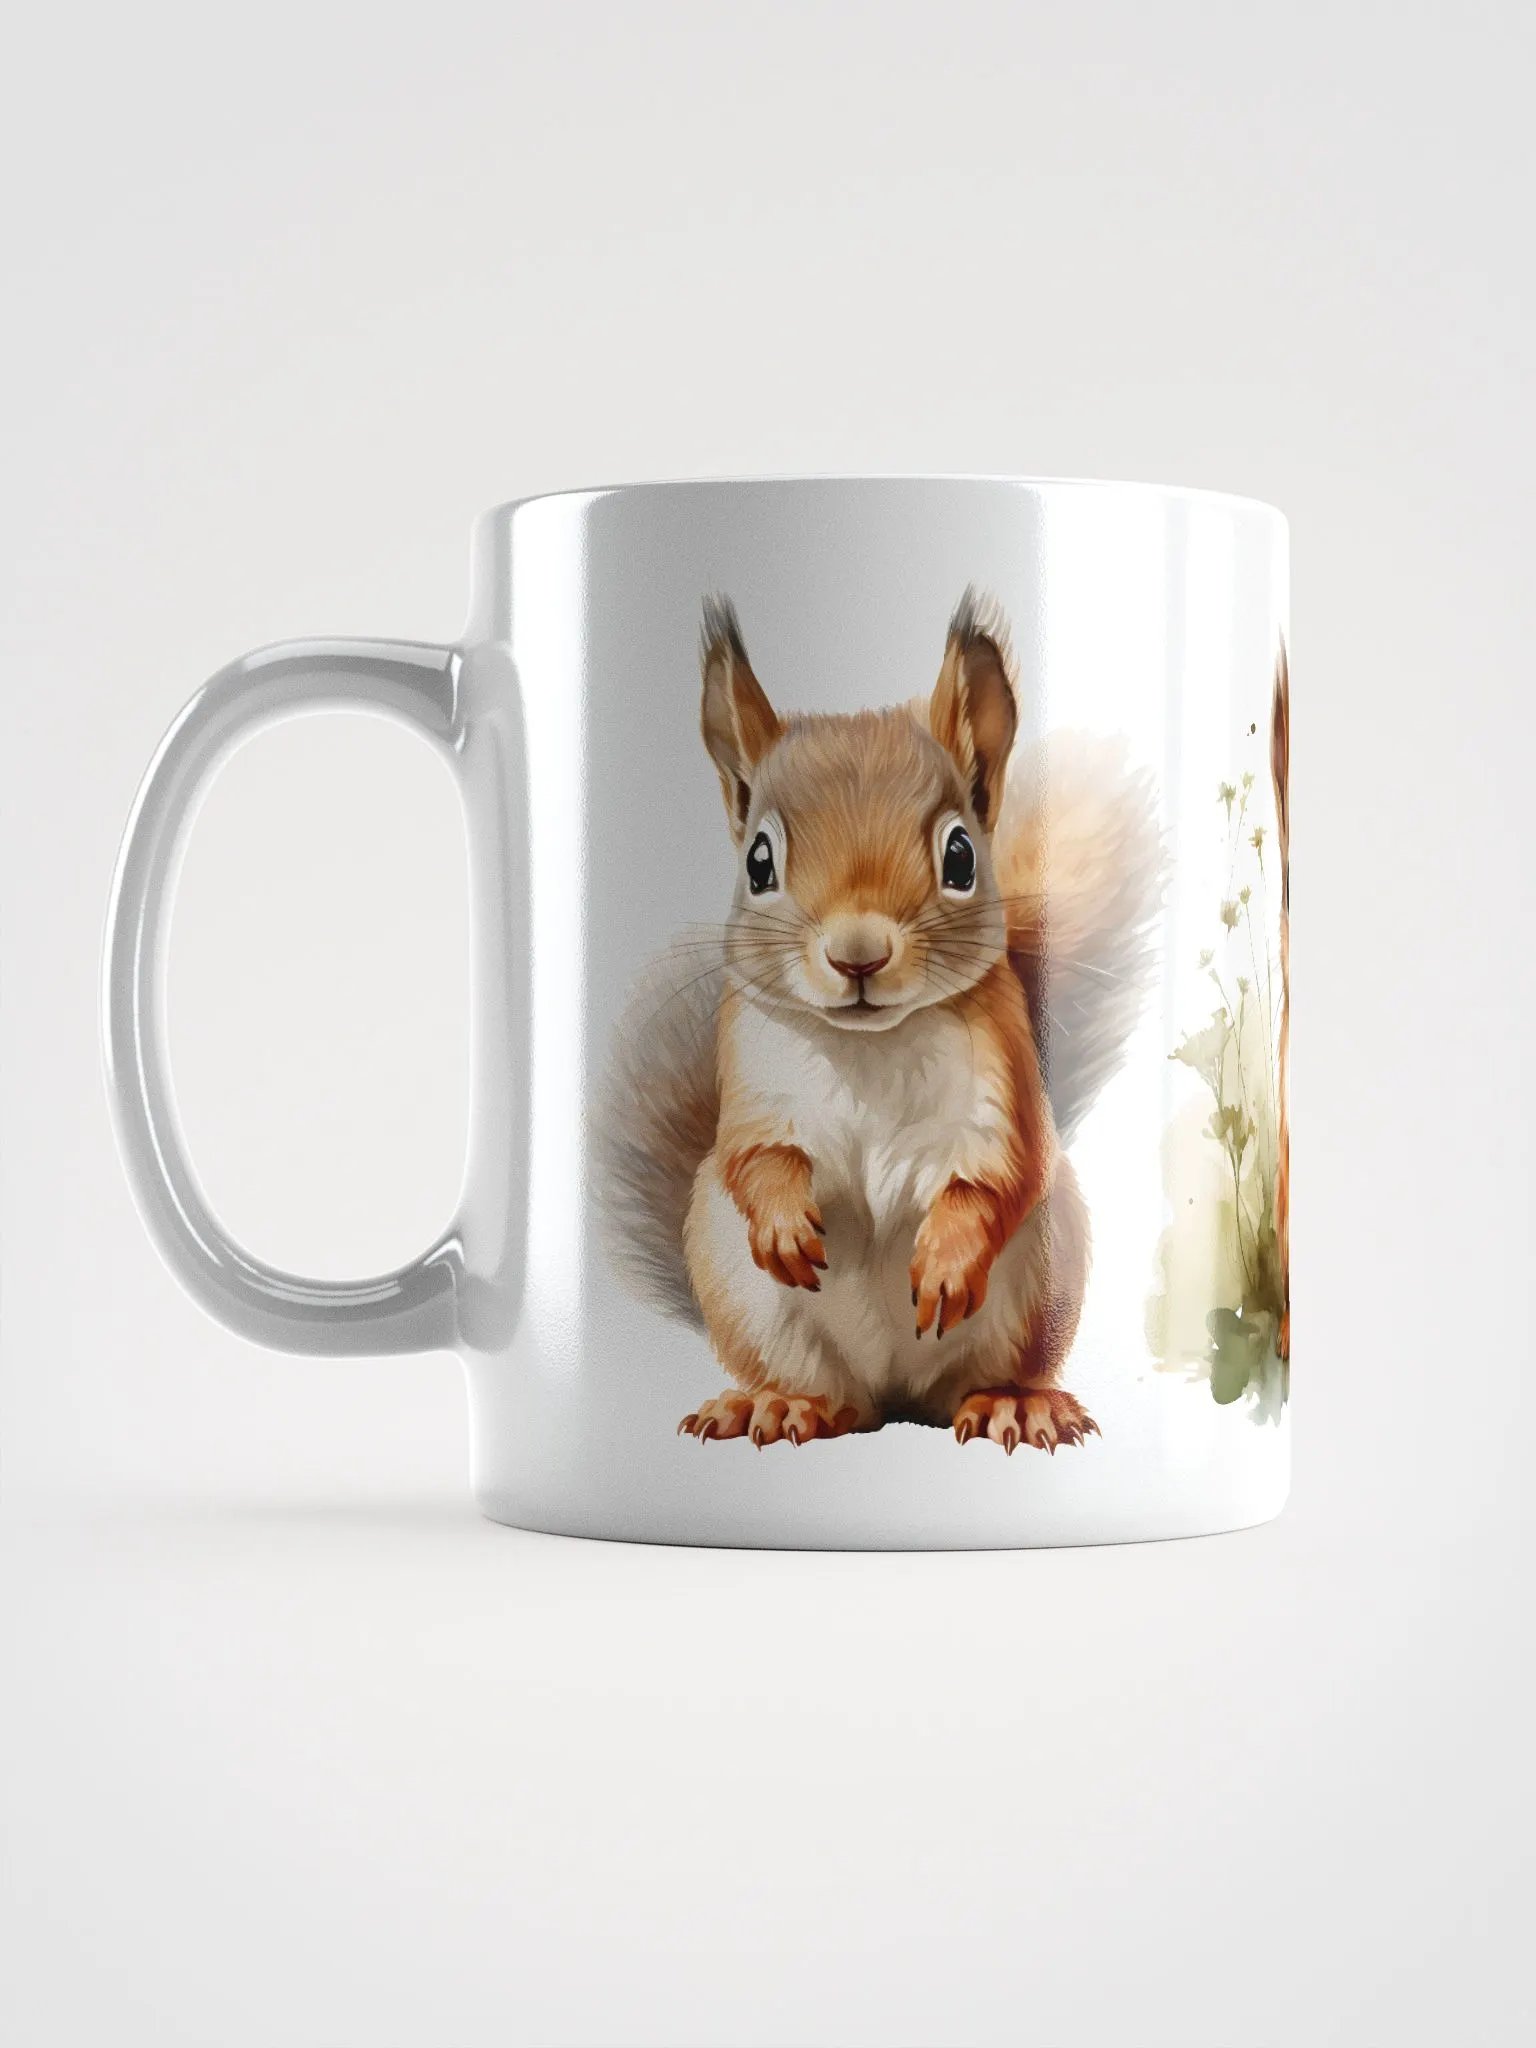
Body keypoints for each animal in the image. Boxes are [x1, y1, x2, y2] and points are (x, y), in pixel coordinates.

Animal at [599, 590, 1162, 1452]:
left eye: (960, 856)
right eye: (758, 863)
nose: (857, 953)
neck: (869, 1046)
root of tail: (896, 1397)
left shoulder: (1004, 1093)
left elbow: (999, 1179)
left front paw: (947, 1260)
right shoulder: (751, 1085)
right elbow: (750, 1158)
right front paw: (785, 1224)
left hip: (1037, 1289)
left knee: (976, 1378)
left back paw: (1012, 1402)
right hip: (753, 1303)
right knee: (829, 1395)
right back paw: (780, 1405)